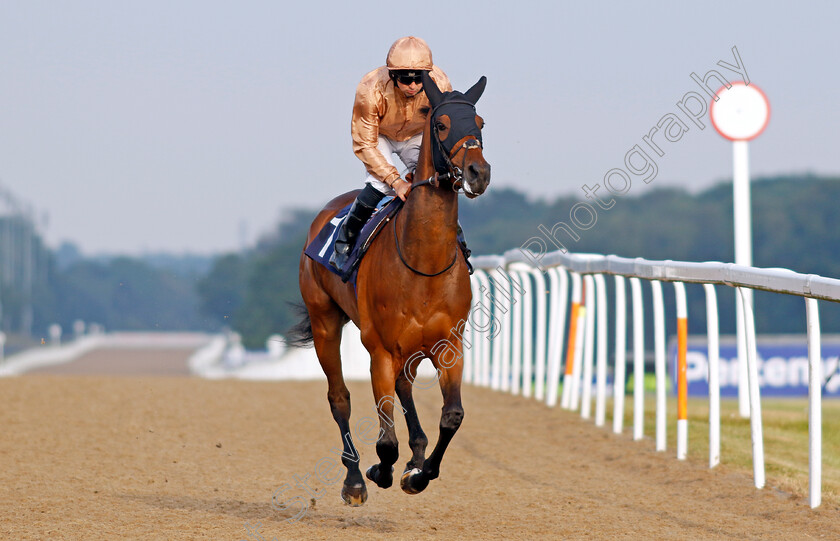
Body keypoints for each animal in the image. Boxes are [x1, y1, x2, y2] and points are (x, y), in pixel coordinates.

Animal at [292, 73, 488, 506]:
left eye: (480, 123)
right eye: (441, 124)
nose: (478, 172)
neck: (423, 264)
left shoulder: (449, 345)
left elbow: (453, 415)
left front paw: (419, 473)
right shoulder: (379, 349)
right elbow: (385, 441)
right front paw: (378, 471)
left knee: (404, 386)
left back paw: (415, 454)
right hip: (325, 322)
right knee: (340, 398)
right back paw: (354, 479)